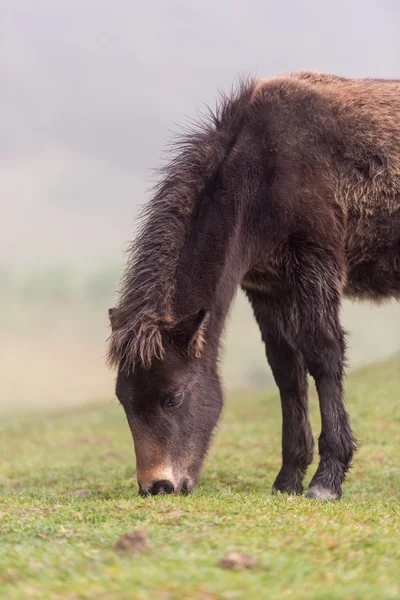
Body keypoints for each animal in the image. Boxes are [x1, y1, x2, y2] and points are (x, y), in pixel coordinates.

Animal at [107, 70, 400, 500]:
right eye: (122, 400)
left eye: (173, 397)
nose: (157, 486)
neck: (263, 172)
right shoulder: (268, 286)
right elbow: (286, 369)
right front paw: (288, 478)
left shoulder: (317, 264)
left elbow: (323, 354)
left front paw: (326, 479)